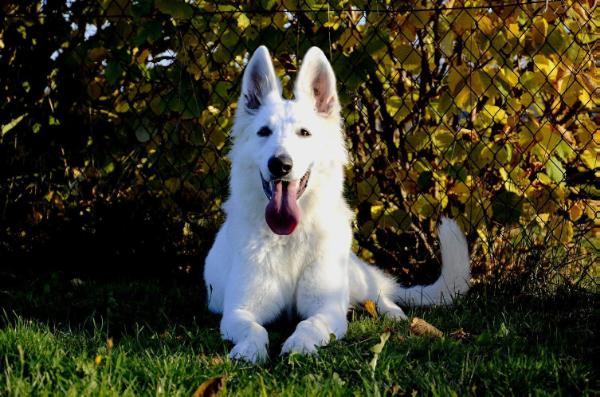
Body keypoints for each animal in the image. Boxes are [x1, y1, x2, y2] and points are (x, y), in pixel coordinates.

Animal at [204, 45, 472, 362]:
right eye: (264, 132)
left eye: (304, 133)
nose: (280, 165)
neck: (290, 238)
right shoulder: (239, 310)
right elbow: (254, 328)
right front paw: (249, 349)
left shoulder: (328, 308)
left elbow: (310, 323)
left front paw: (300, 344)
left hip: (355, 279)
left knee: (380, 294)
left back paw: (394, 314)